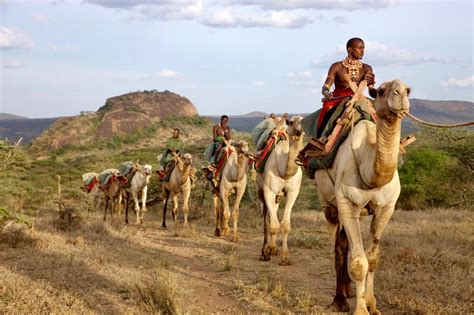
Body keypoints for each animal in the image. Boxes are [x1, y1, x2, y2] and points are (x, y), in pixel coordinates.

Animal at [258, 115, 306, 264]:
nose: (299, 129)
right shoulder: (269, 191)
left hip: (278, 196)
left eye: (303, 119)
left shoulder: (293, 193)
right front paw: (268, 250)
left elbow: (284, 225)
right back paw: (264, 251)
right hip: (260, 190)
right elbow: (273, 225)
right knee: (266, 218)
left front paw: (285, 256)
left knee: (274, 210)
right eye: (291, 122)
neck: (285, 171)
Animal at [312, 79, 410, 315]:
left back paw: (347, 291)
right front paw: (360, 309)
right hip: (329, 206)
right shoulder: (347, 204)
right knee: (337, 248)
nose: (400, 93)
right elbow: (359, 263)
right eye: (381, 91)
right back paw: (339, 299)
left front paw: (372, 304)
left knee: (343, 243)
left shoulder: (386, 208)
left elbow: (373, 259)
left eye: (408, 90)